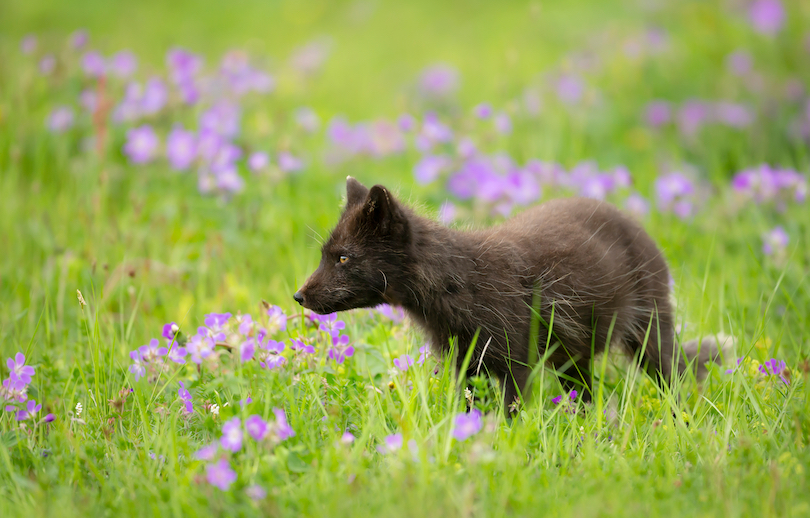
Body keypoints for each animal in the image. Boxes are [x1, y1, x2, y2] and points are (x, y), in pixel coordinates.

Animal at [296, 179, 724, 414]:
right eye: (324, 255)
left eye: (344, 257)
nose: (299, 296)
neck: (460, 285)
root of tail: (639, 227)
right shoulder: (464, 362)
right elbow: (469, 409)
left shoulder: (515, 356)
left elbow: (509, 409)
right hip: (572, 356)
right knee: (587, 391)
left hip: (647, 326)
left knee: (671, 374)